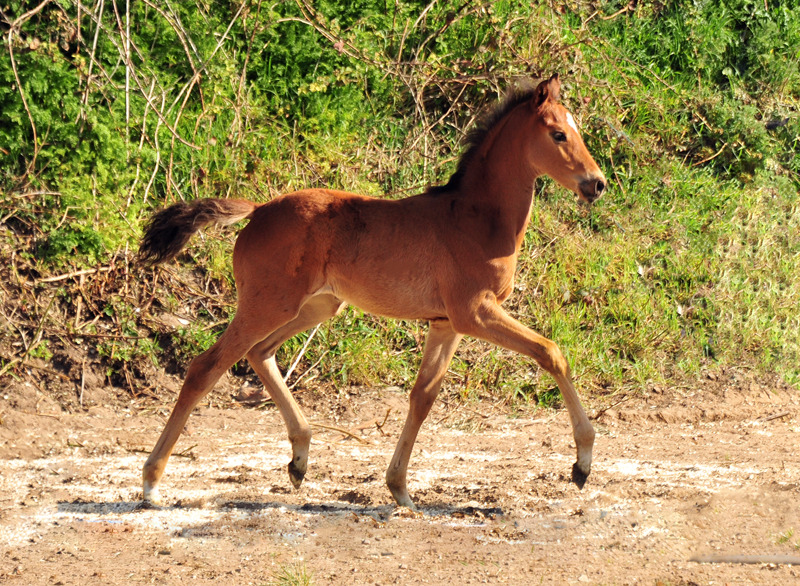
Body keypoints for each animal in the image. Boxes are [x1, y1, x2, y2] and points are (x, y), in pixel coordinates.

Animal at [141, 74, 608, 506]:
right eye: (559, 134)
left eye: (578, 128)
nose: (597, 183)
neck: (476, 219)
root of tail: (258, 211)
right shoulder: (475, 312)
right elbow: (552, 352)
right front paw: (582, 463)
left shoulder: (446, 323)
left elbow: (422, 396)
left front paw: (399, 489)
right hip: (267, 304)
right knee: (205, 367)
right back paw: (151, 482)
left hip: (316, 307)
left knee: (260, 353)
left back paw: (300, 458)